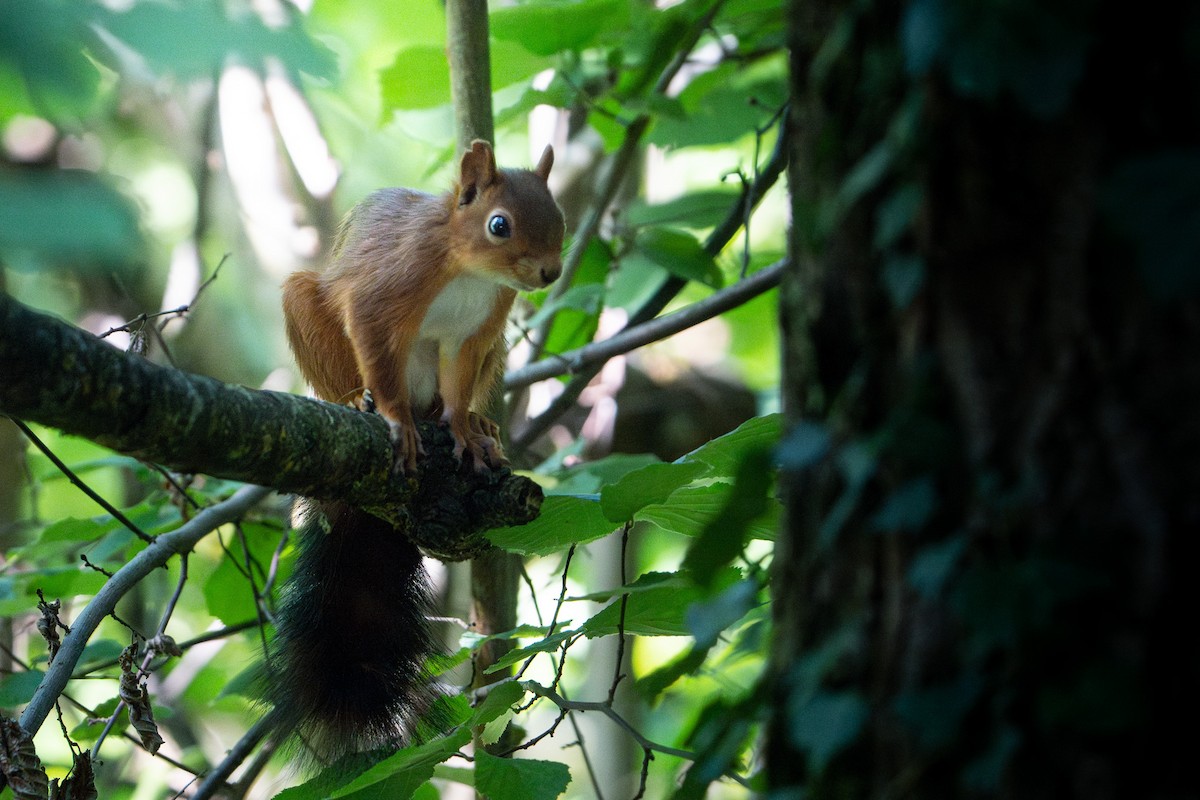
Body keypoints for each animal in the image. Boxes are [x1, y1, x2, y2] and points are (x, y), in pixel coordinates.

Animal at [270, 140, 565, 759]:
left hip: (496, 349)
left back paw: (477, 424)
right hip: (309, 314)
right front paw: (392, 417)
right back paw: (357, 401)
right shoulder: (387, 291)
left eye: (560, 215)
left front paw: (465, 430)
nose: (549, 271)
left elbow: (459, 382)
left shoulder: (477, 331)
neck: (469, 270)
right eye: (499, 224)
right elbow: (375, 344)